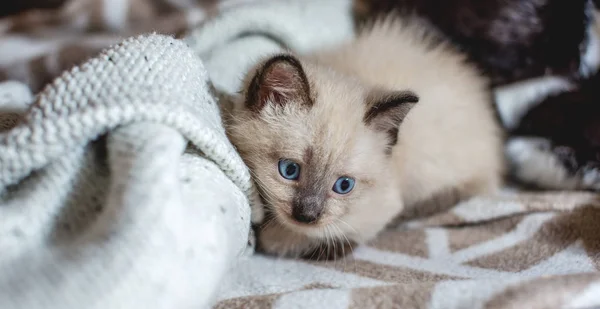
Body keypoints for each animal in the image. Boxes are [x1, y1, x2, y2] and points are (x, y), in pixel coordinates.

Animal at [227, 16, 504, 258]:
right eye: (289, 170)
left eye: (344, 186)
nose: (307, 215)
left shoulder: (380, 207)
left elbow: (328, 235)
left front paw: (276, 239)